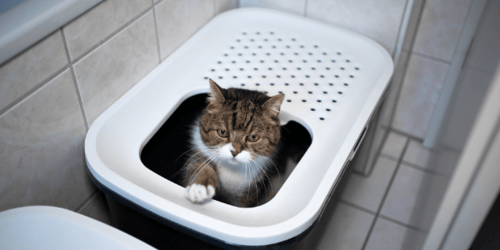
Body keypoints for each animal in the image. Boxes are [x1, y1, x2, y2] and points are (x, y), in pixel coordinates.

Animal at [183, 79, 286, 207]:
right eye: (222, 132)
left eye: (253, 137)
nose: (234, 152)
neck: (232, 168)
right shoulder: (200, 150)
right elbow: (198, 164)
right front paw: (199, 186)